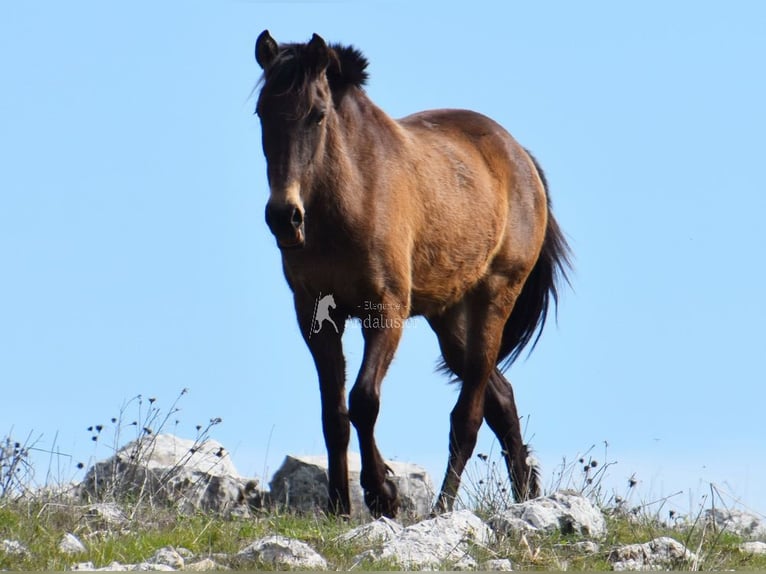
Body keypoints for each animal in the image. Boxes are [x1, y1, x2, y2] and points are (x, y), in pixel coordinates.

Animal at [254, 30, 571, 517]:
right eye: (262, 112)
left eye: (317, 114)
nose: (284, 218)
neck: (352, 196)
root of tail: (519, 157)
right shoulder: (315, 315)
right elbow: (334, 414)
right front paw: (339, 506)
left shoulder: (385, 311)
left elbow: (363, 401)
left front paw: (382, 492)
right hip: (450, 318)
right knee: (501, 399)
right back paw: (526, 498)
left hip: (492, 300)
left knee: (467, 417)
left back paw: (444, 508)